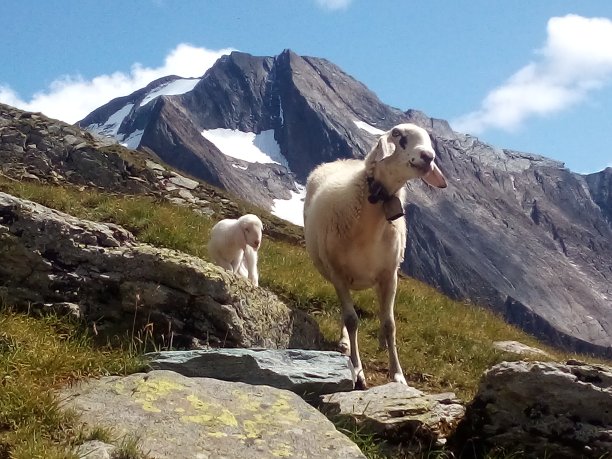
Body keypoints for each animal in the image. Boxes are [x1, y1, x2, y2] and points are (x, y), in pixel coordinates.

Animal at [304, 123, 448, 388]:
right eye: (398, 135)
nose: (428, 157)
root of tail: (342, 161)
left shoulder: (389, 275)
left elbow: (390, 325)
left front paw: (398, 375)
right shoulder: (338, 274)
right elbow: (352, 320)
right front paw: (357, 370)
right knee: (346, 314)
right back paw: (346, 343)